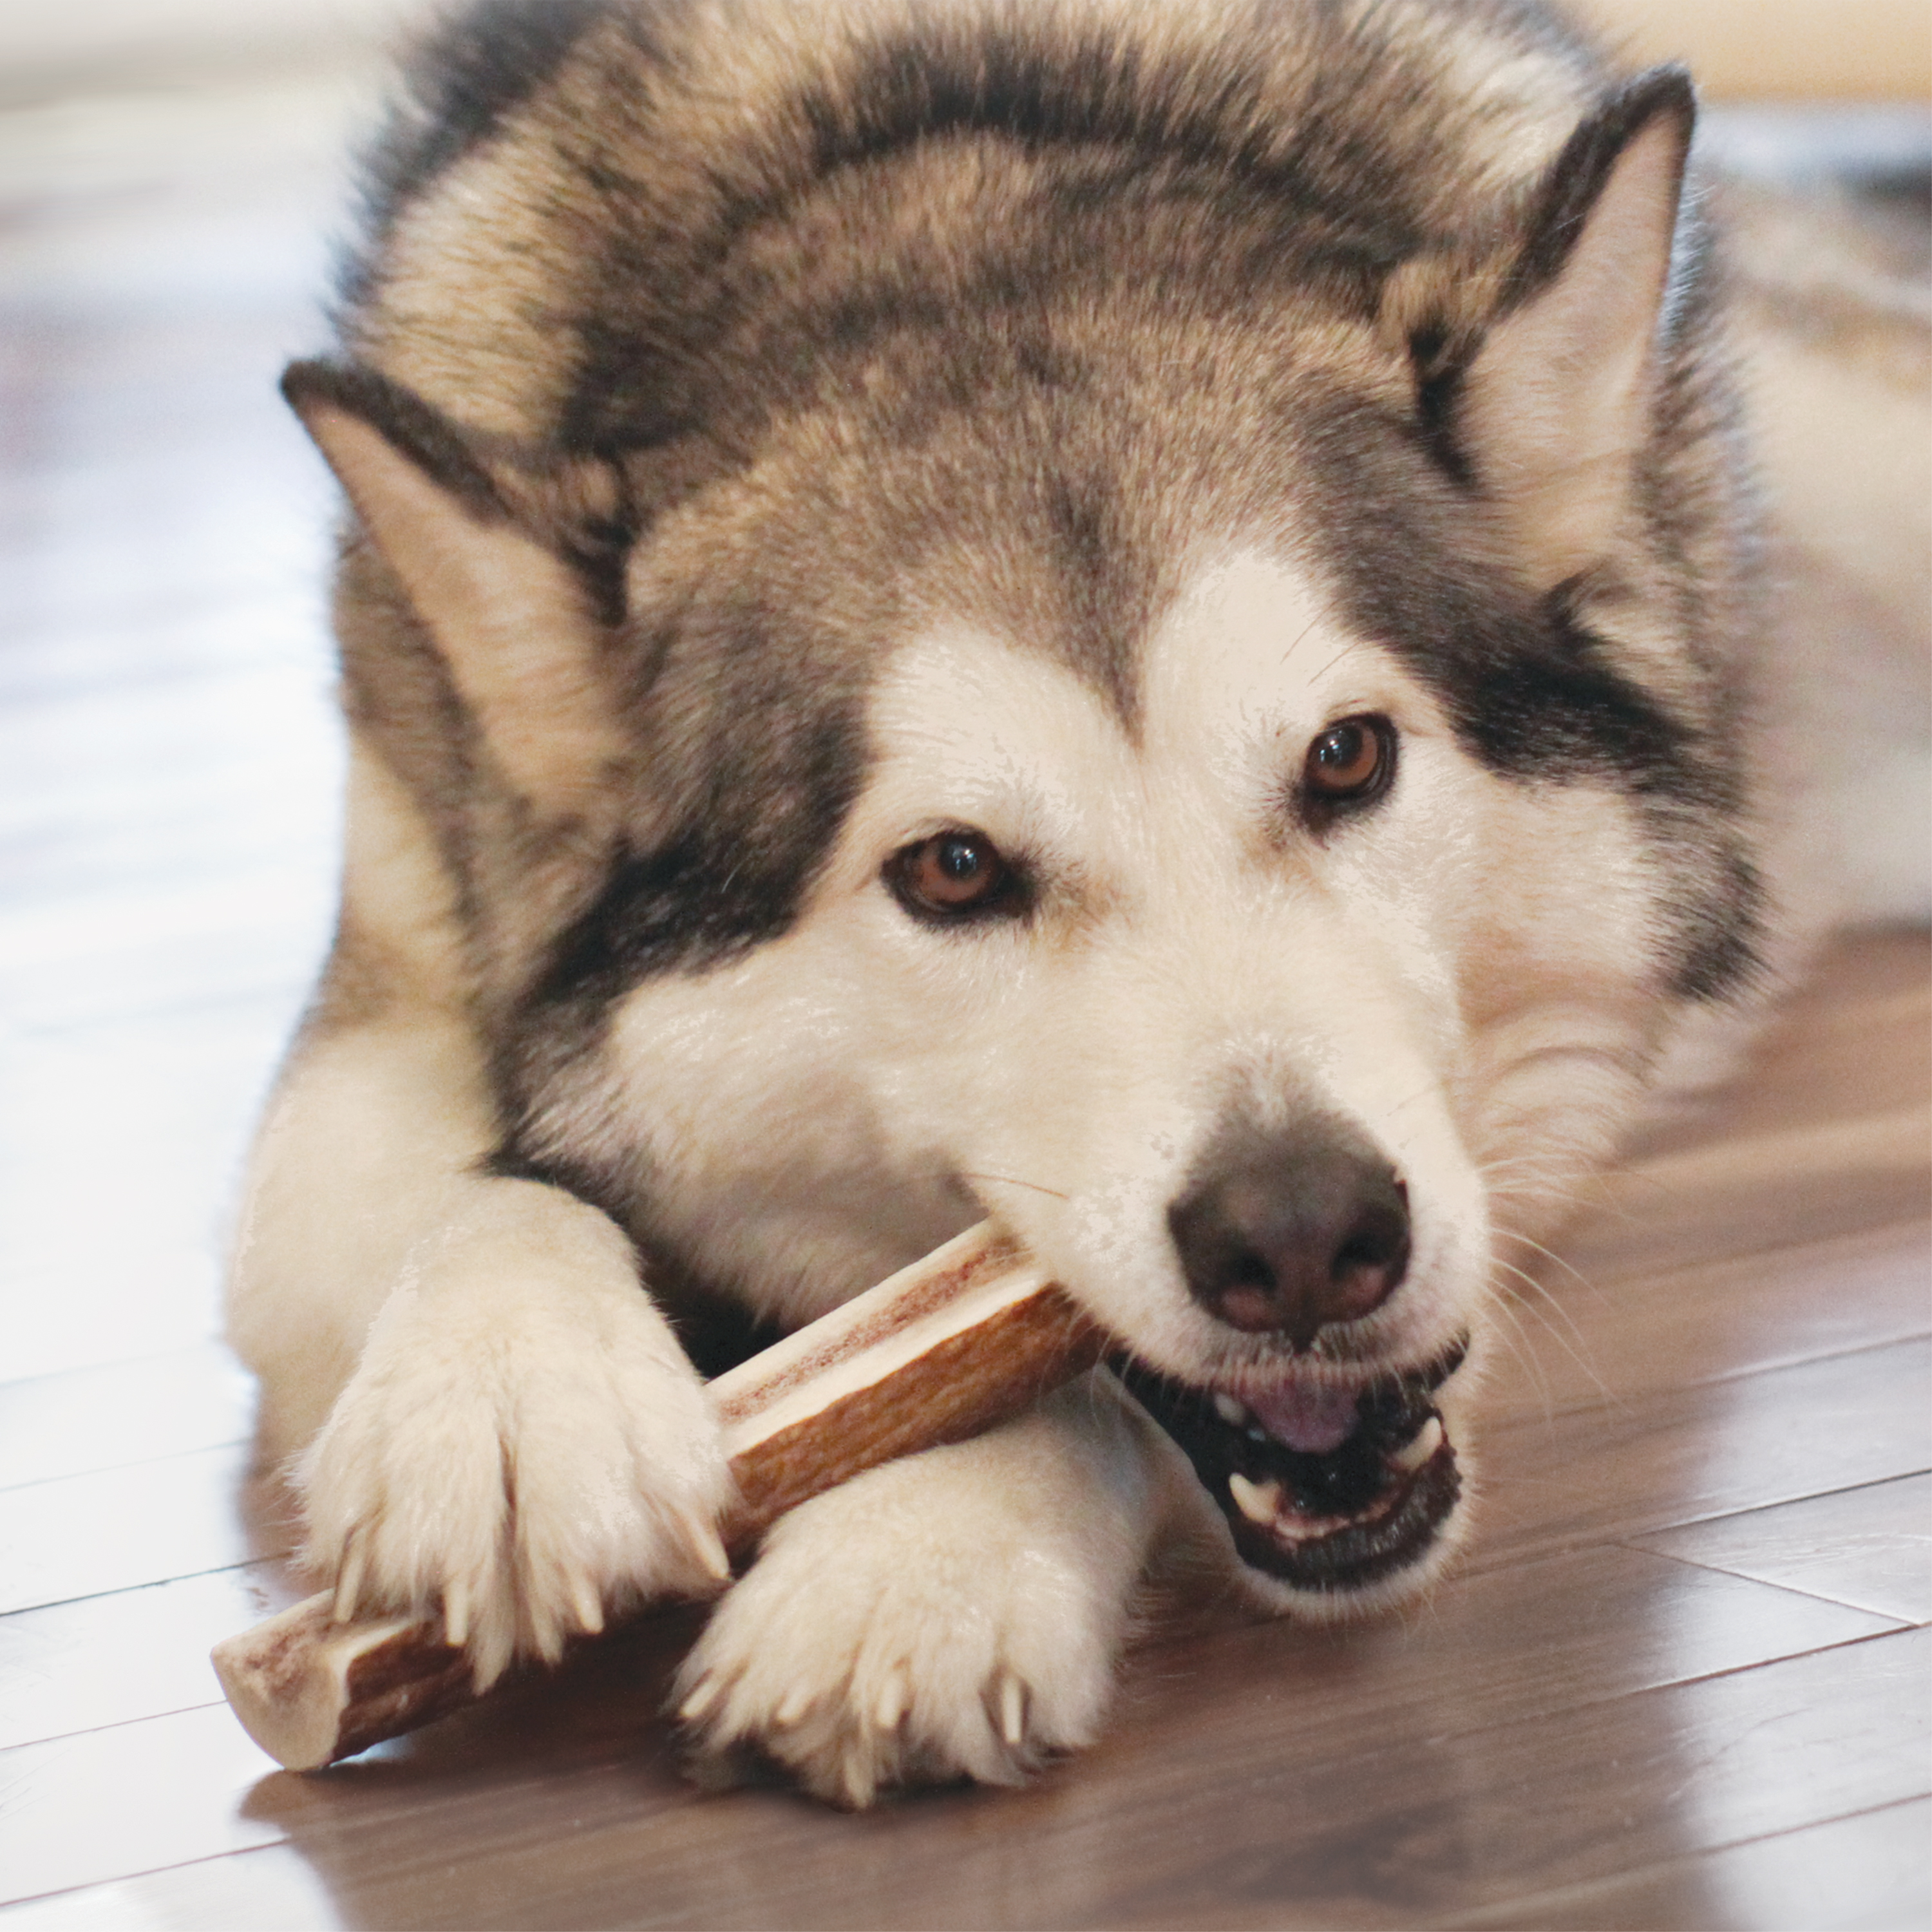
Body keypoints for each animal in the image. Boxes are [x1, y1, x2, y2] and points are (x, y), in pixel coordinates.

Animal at [222, 3, 1917, 1808]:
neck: (941, 174)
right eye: (953, 868)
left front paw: (918, 1553)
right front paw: (507, 1391)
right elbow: (450, 1196)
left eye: (1346, 757)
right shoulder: (391, 975)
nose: (1304, 1239)